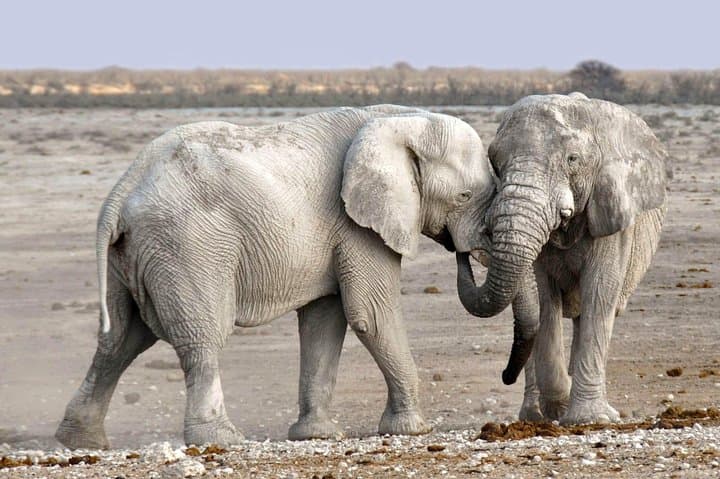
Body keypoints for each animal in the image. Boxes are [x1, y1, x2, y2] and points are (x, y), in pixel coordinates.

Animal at [55, 105, 497, 449]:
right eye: (464, 197)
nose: (463, 251)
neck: (401, 120)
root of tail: (122, 190)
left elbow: (324, 321)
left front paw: (317, 435)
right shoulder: (357, 224)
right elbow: (370, 314)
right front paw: (413, 429)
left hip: (133, 255)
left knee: (120, 339)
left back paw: (81, 441)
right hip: (187, 246)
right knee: (201, 337)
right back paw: (222, 440)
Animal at [456, 93, 670, 425]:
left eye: (572, 160)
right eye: (495, 162)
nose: (505, 376)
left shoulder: (611, 212)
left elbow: (600, 292)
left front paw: (589, 419)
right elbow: (544, 299)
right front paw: (561, 405)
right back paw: (535, 416)